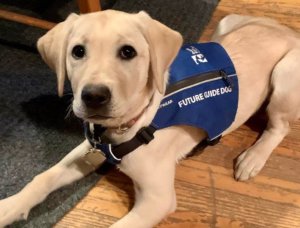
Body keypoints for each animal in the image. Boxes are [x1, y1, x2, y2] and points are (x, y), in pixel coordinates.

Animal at [0, 10, 300, 228]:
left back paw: (253, 158)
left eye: (128, 52)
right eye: (77, 51)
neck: (128, 126)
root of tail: (290, 32)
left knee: (278, 127)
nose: (93, 96)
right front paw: (9, 207)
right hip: (223, 26)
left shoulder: (158, 200)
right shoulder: (91, 148)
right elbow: (43, 178)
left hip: (283, 76)